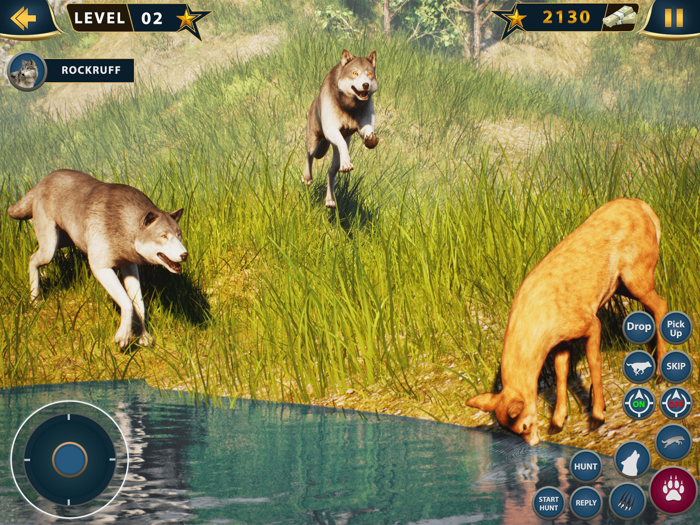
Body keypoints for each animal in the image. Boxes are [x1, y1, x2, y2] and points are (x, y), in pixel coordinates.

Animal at [8, 170, 188, 348]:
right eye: (163, 236)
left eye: (179, 235)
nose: (185, 255)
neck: (123, 224)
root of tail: (44, 179)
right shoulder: (101, 268)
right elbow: (127, 302)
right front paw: (123, 336)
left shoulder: (130, 267)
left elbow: (139, 304)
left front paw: (144, 336)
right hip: (50, 248)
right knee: (32, 259)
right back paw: (35, 300)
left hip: (62, 241)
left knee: (35, 254)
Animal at [303, 49, 378, 208]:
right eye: (355, 73)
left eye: (369, 73)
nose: (366, 84)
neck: (350, 106)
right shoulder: (331, 129)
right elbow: (341, 143)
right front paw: (347, 164)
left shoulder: (365, 125)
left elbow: (368, 132)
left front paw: (371, 140)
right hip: (313, 140)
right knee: (309, 156)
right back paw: (307, 178)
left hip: (334, 158)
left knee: (330, 172)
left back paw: (330, 200)